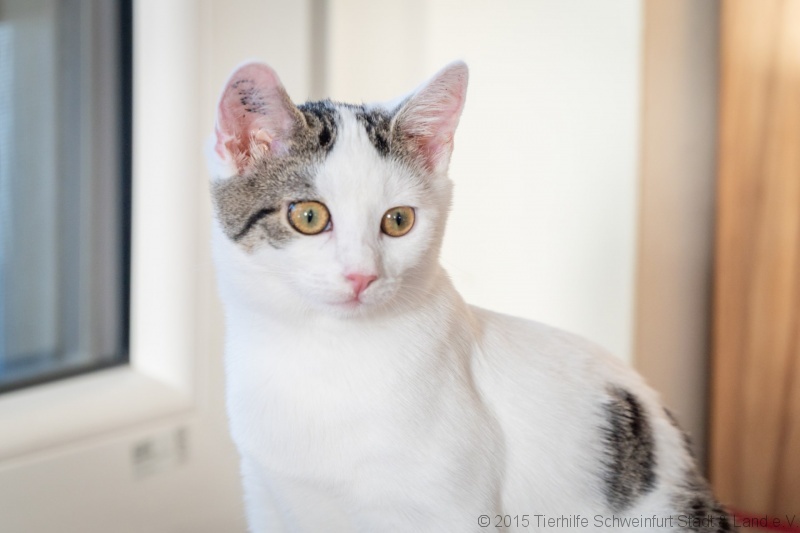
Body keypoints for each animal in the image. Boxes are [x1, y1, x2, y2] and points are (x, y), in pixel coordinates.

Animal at [207, 60, 734, 532]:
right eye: (309, 216)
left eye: (398, 221)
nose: (362, 276)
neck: (320, 352)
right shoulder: (267, 494)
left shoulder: (445, 510)